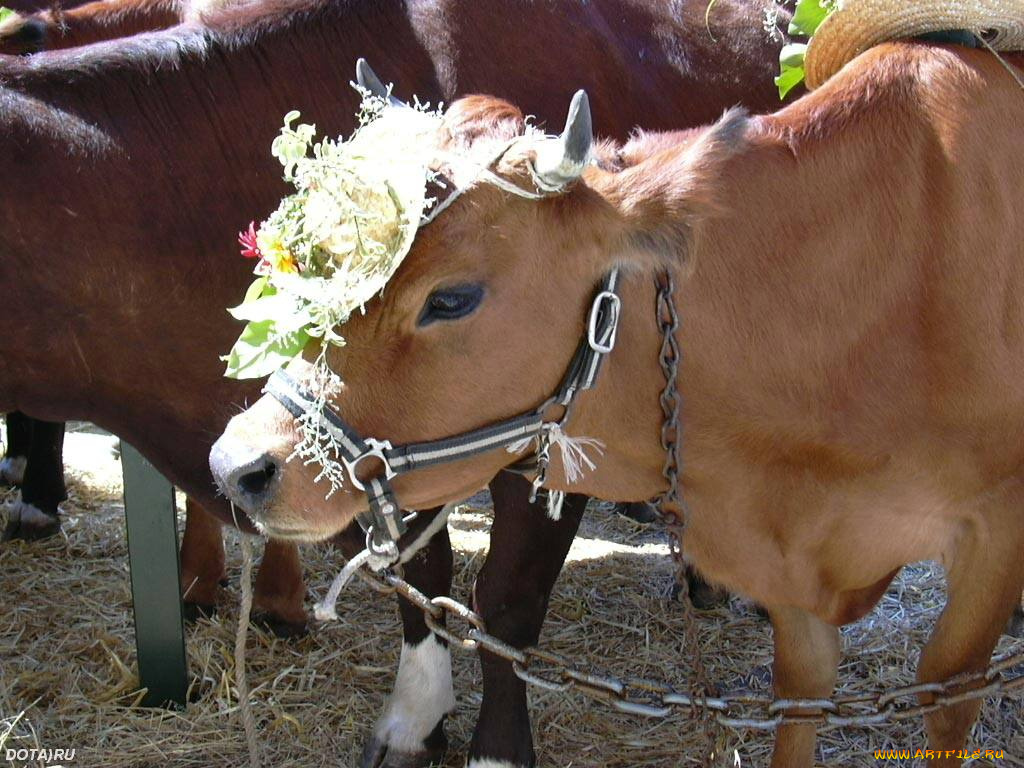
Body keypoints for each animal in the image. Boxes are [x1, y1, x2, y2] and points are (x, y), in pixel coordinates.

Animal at [1, 0, 794, 765]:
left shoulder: (558, 427)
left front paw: (495, 751)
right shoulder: (390, 448)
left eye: (451, 299)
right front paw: (415, 721)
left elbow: (508, 600)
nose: (230, 465)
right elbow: (424, 578)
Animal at [211, 43, 1024, 767]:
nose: (236, 465)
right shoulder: (789, 565)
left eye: (450, 298)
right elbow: (801, 690)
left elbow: (948, 691)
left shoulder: (995, 535)